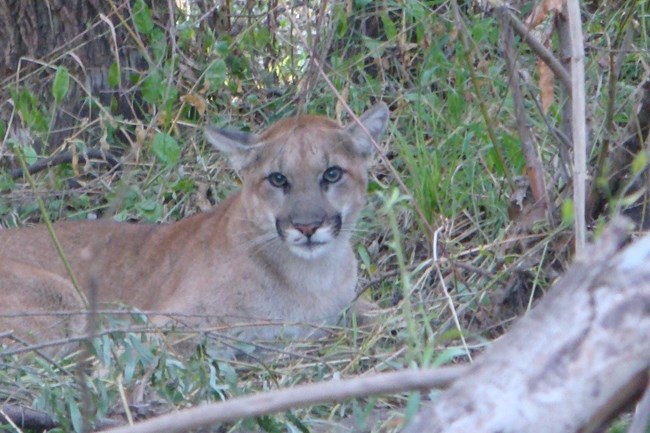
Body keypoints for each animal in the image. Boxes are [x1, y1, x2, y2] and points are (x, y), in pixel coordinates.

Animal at [0, 103, 384, 352]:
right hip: (63, 298)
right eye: (278, 179)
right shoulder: (162, 326)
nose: (306, 227)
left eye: (332, 174)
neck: (312, 276)